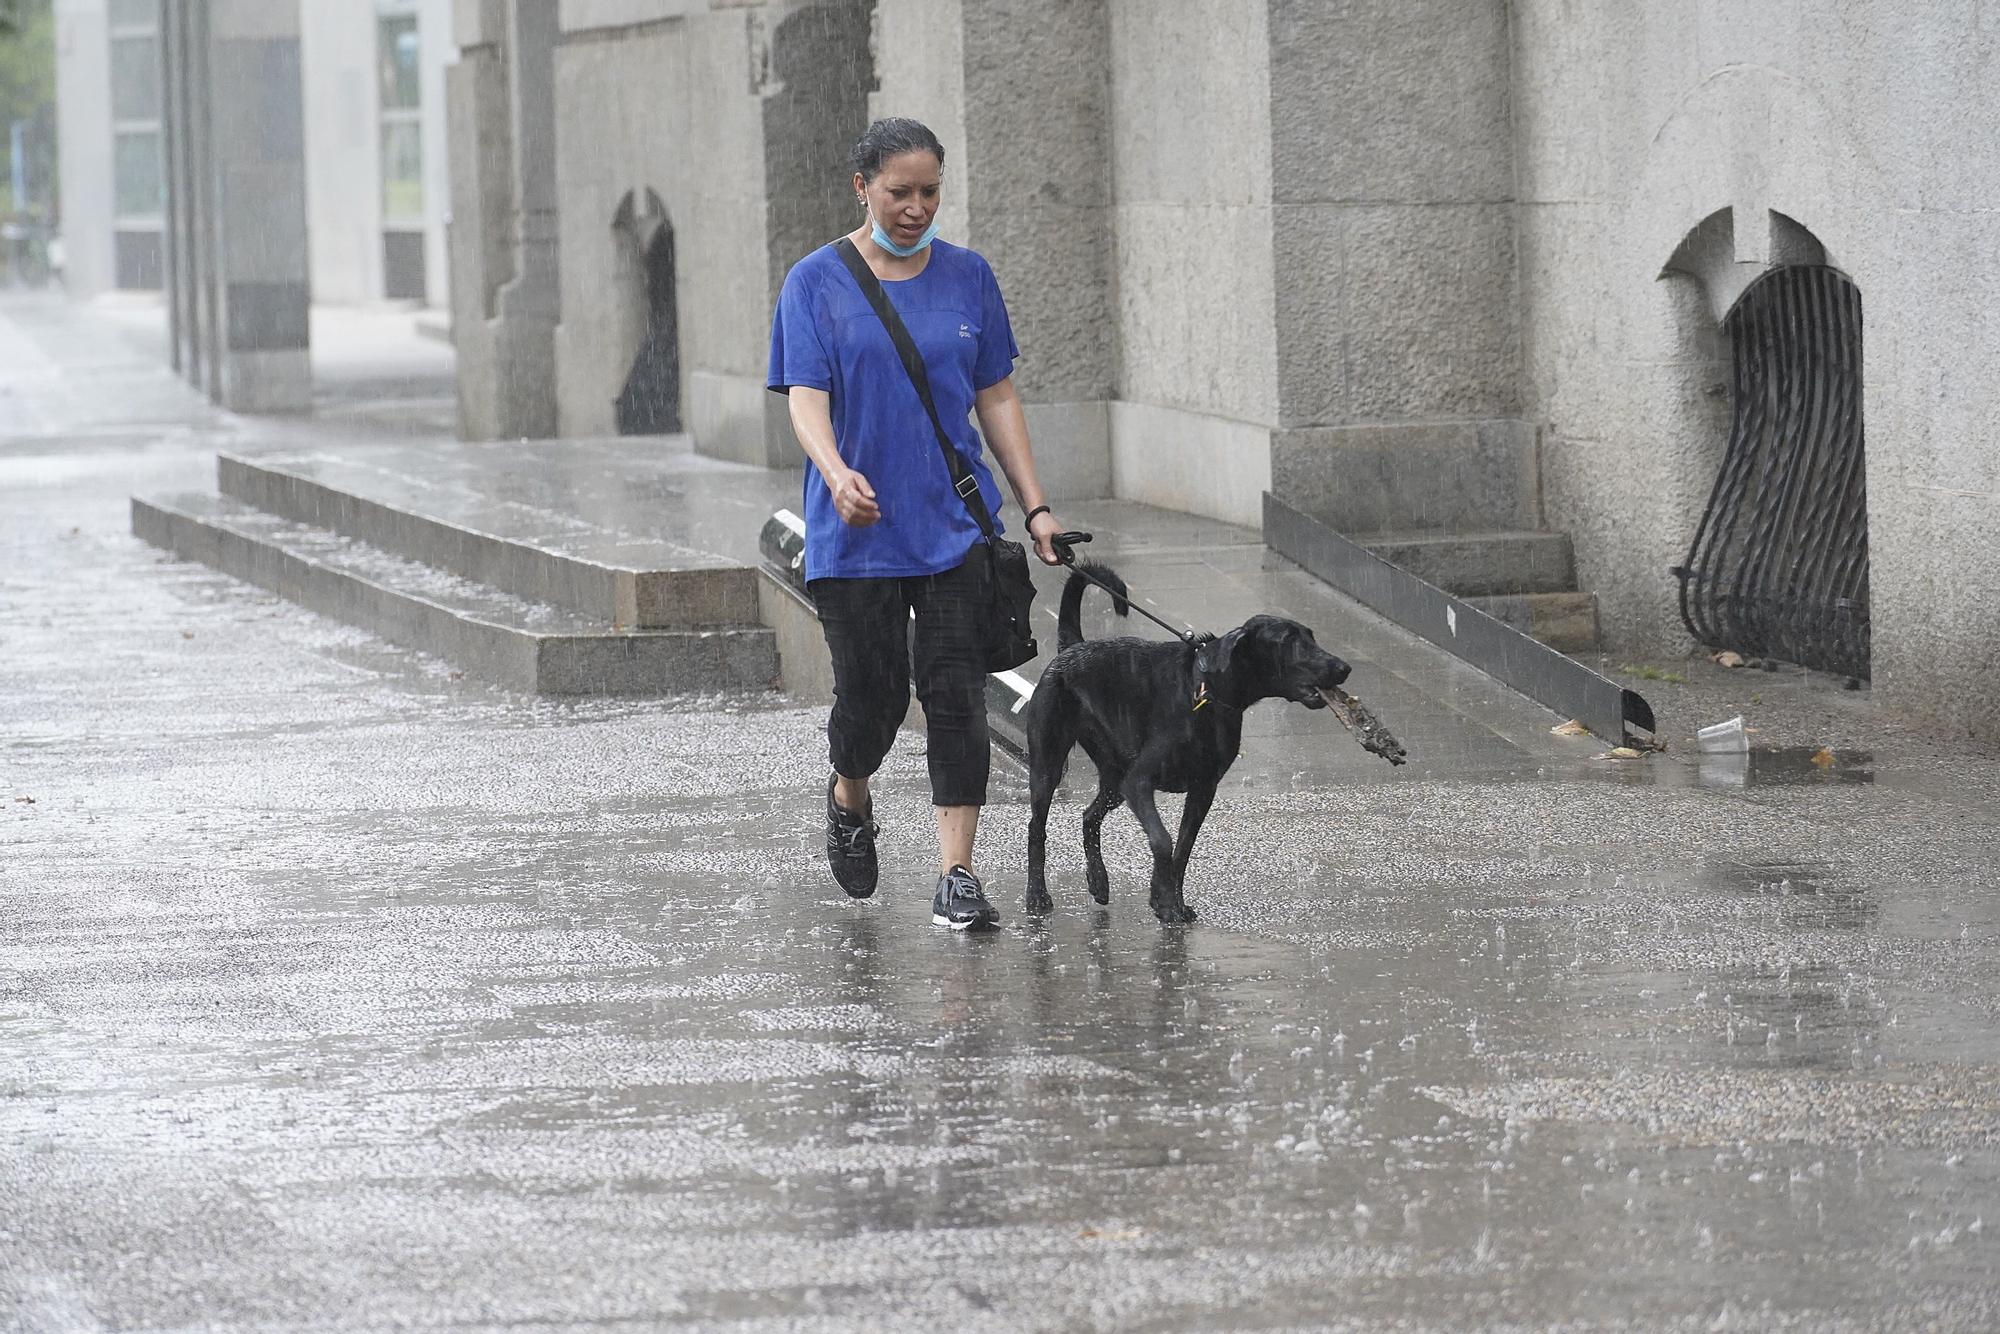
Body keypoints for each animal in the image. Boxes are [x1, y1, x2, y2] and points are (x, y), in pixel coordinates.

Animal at [1024, 560, 1352, 924]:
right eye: (1290, 641)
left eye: (1311, 636)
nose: (1344, 667)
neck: (1205, 692)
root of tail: (1071, 648)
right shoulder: (1140, 782)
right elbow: (1162, 840)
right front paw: (1163, 899)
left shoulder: (1202, 790)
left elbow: (1183, 849)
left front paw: (1172, 901)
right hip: (1050, 766)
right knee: (1037, 828)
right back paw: (1037, 895)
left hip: (1114, 779)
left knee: (1089, 817)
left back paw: (1098, 880)